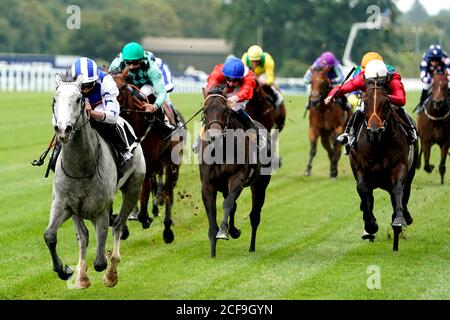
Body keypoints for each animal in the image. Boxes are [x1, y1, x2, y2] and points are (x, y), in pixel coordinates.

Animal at [43, 74, 145, 288]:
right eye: (54, 100)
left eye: (79, 99)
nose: (63, 130)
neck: (80, 167)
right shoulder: (63, 204)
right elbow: (50, 235)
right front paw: (64, 270)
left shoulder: (101, 209)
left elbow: (100, 258)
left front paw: (105, 267)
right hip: (76, 210)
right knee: (83, 235)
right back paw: (81, 275)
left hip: (133, 188)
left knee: (118, 225)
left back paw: (111, 272)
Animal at [111, 69, 184, 244]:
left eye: (122, 88)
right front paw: (123, 226)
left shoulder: (149, 162)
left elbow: (144, 190)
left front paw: (144, 217)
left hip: (171, 162)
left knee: (168, 192)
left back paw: (167, 229)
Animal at [200, 87, 270, 258]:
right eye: (205, 110)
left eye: (225, 110)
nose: (214, 137)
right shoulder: (207, 185)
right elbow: (212, 213)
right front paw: (213, 251)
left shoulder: (237, 179)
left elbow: (228, 203)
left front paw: (223, 232)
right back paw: (233, 231)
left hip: (260, 184)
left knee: (254, 215)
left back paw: (251, 246)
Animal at [348, 76, 418, 251]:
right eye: (365, 101)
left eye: (386, 103)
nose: (374, 131)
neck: (377, 145)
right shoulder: (360, 168)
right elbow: (363, 190)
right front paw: (370, 226)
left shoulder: (399, 167)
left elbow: (398, 190)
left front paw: (399, 219)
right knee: (368, 198)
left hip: (411, 171)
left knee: (404, 192)